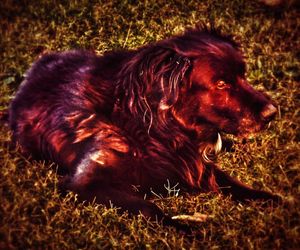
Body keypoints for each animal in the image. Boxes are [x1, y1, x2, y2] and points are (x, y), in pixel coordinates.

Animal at [9, 26, 282, 226]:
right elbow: (149, 208)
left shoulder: (197, 165)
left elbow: (232, 182)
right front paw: (185, 229)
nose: (272, 113)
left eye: (243, 75)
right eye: (222, 83)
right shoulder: (84, 183)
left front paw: (268, 198)